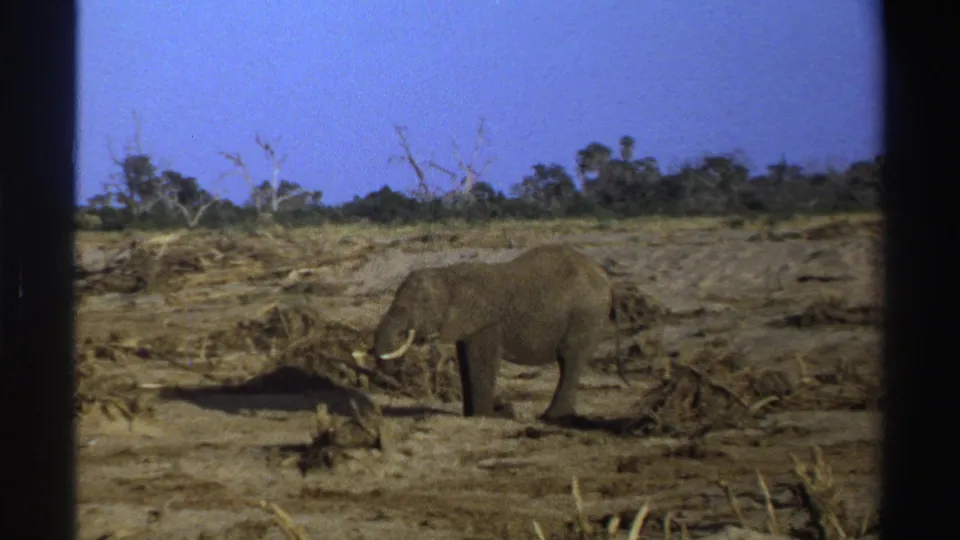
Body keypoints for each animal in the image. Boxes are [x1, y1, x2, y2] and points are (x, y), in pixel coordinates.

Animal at [363, 244, 624, 421]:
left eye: (423, 303)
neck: (449, 275)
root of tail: (606, 276)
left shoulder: (486, 322)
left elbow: (481, 361)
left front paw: (485, 416)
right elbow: (466, 361)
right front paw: (472, 415)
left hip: (586, 315)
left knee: (571, 358)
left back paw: (551, 417)